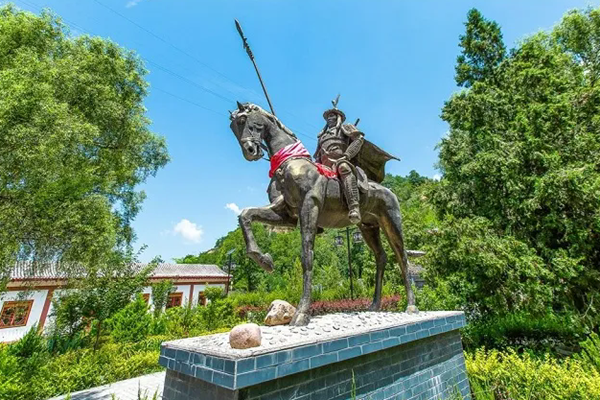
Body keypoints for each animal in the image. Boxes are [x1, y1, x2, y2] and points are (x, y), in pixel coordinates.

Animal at [230, 103, 418, 324]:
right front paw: (263, 260)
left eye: (244, 120)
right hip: (368, 227)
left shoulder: (309, 207)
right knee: (381, 257)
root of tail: (388, 190)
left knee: (402, 258)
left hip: (391, 223)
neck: (290, 162)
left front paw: (302, 313)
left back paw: (411, 305)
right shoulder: (287, 215)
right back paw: (374, 305)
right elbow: (246, 214)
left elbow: (307, 257)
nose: (250, 151)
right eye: (233, 126)